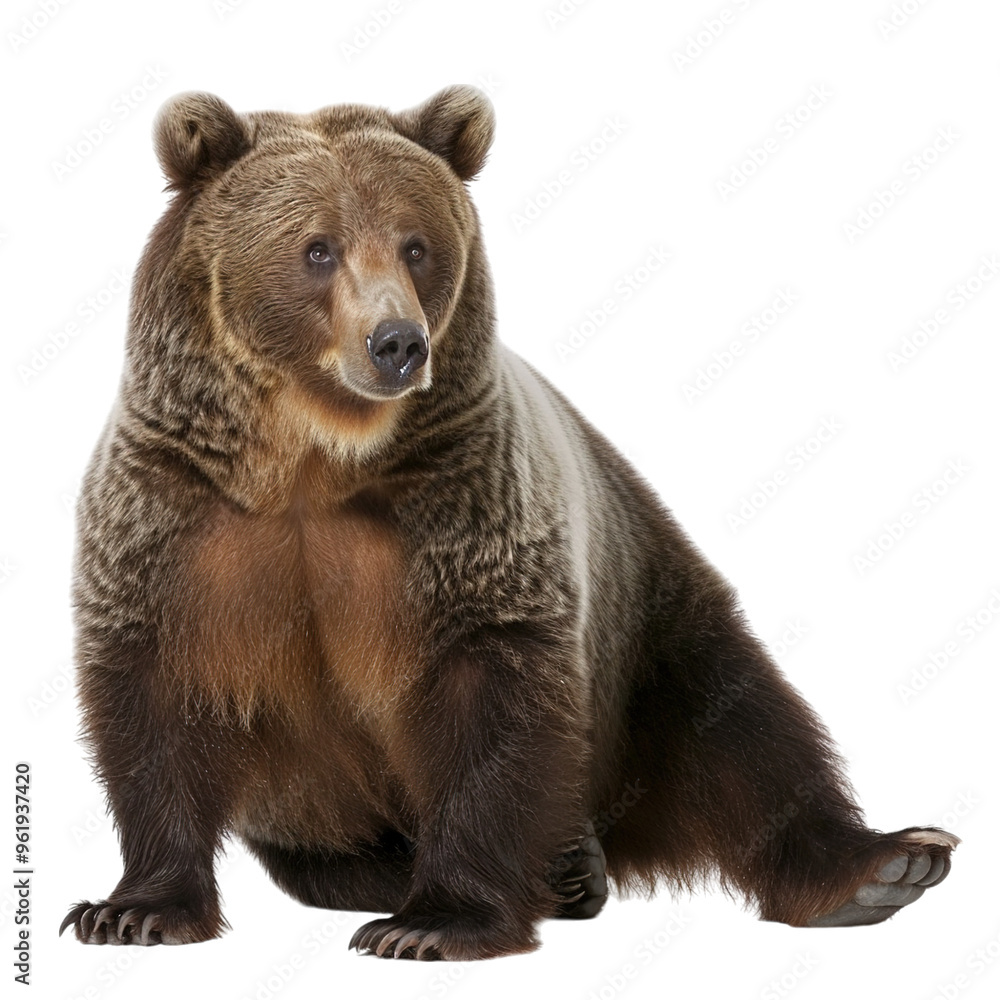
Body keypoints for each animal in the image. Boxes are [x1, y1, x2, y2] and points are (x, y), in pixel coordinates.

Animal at [61, 86, 957, 961]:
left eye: (416, 245)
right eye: (317, 248)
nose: (397, 343)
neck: (316, 456)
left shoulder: (463, 510)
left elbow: (490, 699)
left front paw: (433, 924)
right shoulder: (180, 518)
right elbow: (156, 703)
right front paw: (133, 910)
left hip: (641, 611)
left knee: (738, 719)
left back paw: (879, 866)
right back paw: (560, 871)